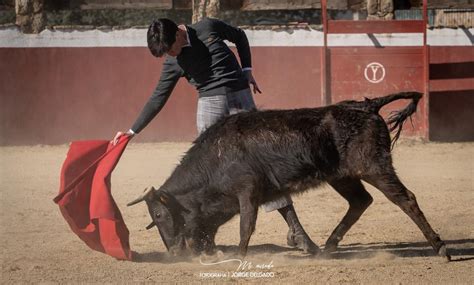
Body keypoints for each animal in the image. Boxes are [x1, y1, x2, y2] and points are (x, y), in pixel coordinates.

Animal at [128, 91, 450, 260]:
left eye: (159, 215)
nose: (173, 253)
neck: (214, 157)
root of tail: (366, 105)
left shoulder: (247, 192)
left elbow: (246, 226)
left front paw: (239, 257)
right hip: (342, 176)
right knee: (361, 201)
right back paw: (329, 246)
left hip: (374, 167)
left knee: (406, 199)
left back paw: (441, 248)